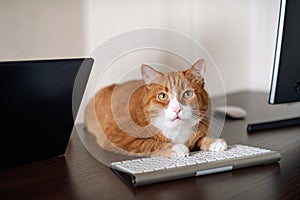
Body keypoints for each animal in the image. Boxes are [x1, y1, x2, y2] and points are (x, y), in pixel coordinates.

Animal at [85, 58, 227, 158]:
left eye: (187, 94)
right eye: (162, 96)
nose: (177, 109)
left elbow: (201, 138)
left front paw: (214, 142)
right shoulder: (119, 138)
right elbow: (149, 143)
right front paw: (176, 147)